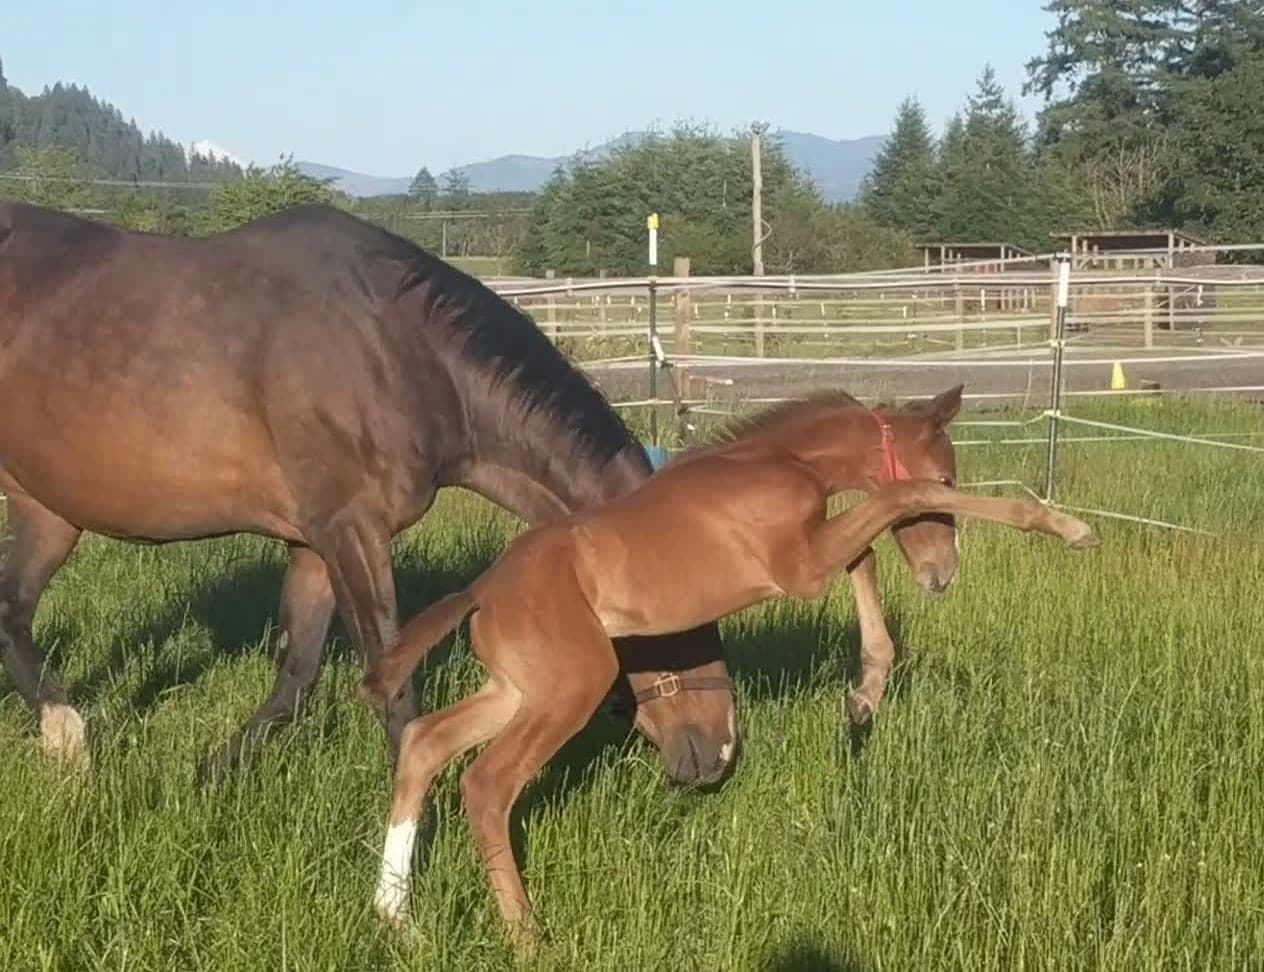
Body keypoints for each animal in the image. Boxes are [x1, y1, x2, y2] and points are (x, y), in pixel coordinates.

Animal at [0, 200, 735, 784]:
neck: (398, 349)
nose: (721, 752)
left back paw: (63, 735)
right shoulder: (353, 533)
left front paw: (211, 771)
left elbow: (295, 677)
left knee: (13, 613)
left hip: (47, 511)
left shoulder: (315, 543)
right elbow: (393, 685)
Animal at [358, 393, 1100, 951]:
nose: (942, 573)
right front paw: (1066, 528)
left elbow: (864, 555)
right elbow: (889, 506)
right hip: (569, 688)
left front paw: (866, 691)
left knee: (423, 743)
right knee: (486, 784)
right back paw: (525, 935)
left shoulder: (812, 553)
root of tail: (482, 590)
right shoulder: (798, 567)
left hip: (515, 691)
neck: (776, 460)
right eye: (946, 482)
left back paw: (398, 916)